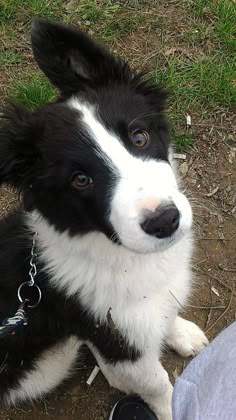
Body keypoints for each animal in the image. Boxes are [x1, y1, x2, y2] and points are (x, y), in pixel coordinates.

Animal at [0, 19, 207, 420]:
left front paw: (182, 333)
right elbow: (158, 384)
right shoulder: (118, 344)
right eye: (81, 179)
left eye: (139, 137)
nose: (164, 222)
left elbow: (167, 310)